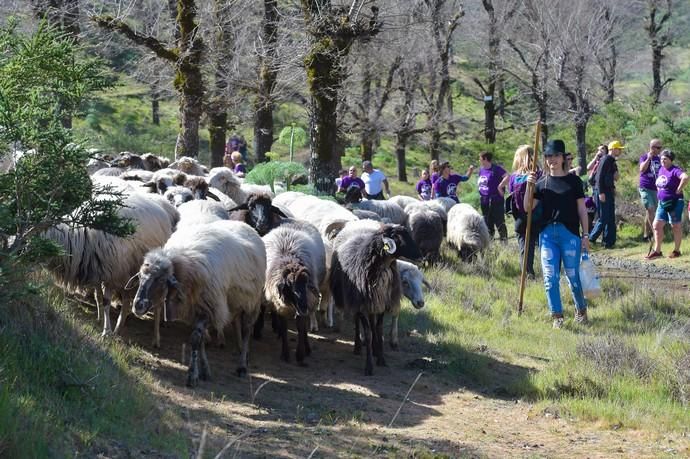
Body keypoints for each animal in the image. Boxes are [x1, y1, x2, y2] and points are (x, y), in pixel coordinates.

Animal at [132, 221, 266, 386]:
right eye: (140, 277)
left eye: (161, 280)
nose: (138, 305)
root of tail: (244, 224)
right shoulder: (195, 309)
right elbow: (201, 340)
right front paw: (204, 371)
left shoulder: (209, 308)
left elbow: (195, 340)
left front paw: (192, 376)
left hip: (252, 302)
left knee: (247, 330)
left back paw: (242, 365)